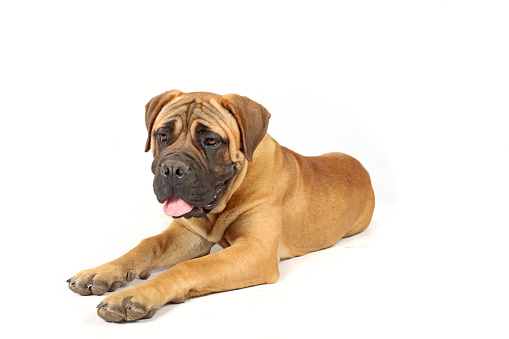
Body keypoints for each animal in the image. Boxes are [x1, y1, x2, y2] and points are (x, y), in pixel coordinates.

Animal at [67, 89, 376, 322]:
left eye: (211, 141)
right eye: (162, 135)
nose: (172, 168)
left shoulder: (255, 251)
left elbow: (188, 268)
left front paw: (136, 294)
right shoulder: (189, 234)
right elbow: (148, 244)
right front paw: (102, 271)